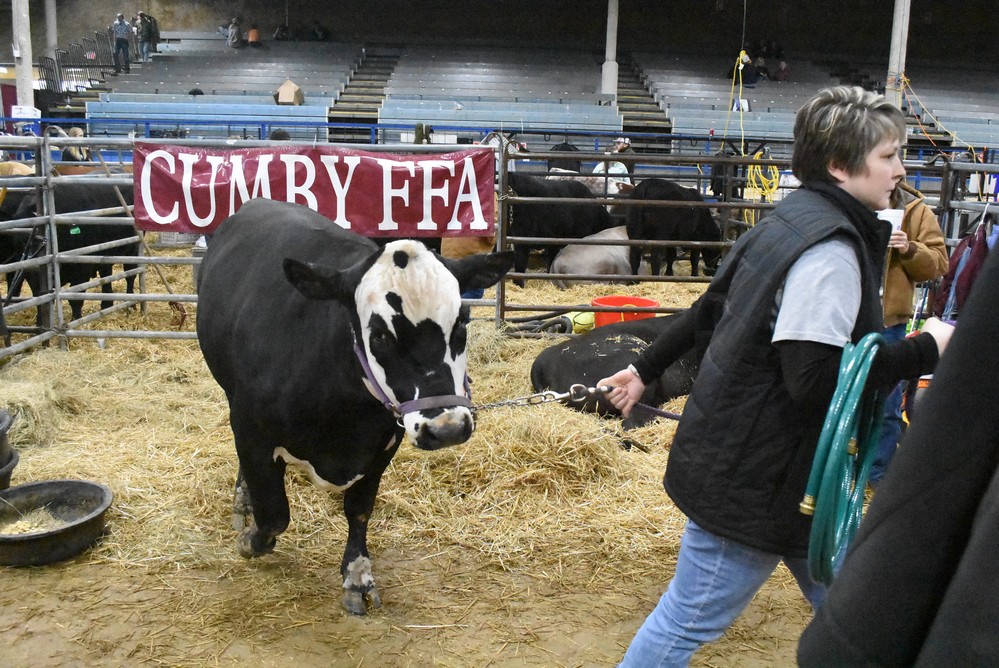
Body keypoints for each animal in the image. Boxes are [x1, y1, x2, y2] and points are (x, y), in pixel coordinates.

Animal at [198, 197, 516, 616]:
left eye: (461, 322)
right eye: (378, 334)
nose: (447, 428)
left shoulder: (383, 444)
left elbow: (359, 509)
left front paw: (357, 577)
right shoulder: (251, 429)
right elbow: (274, 513)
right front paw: (252, 540)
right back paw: (242, 503)